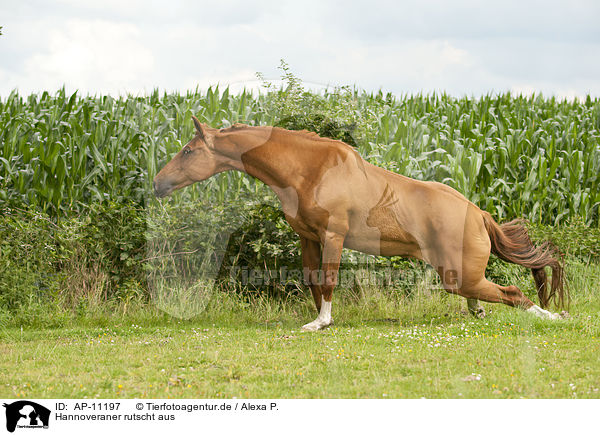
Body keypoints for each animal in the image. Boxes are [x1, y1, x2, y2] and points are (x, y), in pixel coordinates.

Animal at [155, 117, 568, 332]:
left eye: (188, 151)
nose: (158, 184)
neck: (311, 170)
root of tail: (478, 213)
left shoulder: (333, 235)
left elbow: (328, 278)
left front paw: (321, 323)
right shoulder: (308, 238)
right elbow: (312, 279)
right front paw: (318, 317)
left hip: (459, 274)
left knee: (513, 292)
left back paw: (552, 316)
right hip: (458, 274)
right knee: (489, 293)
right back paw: (482, 311)